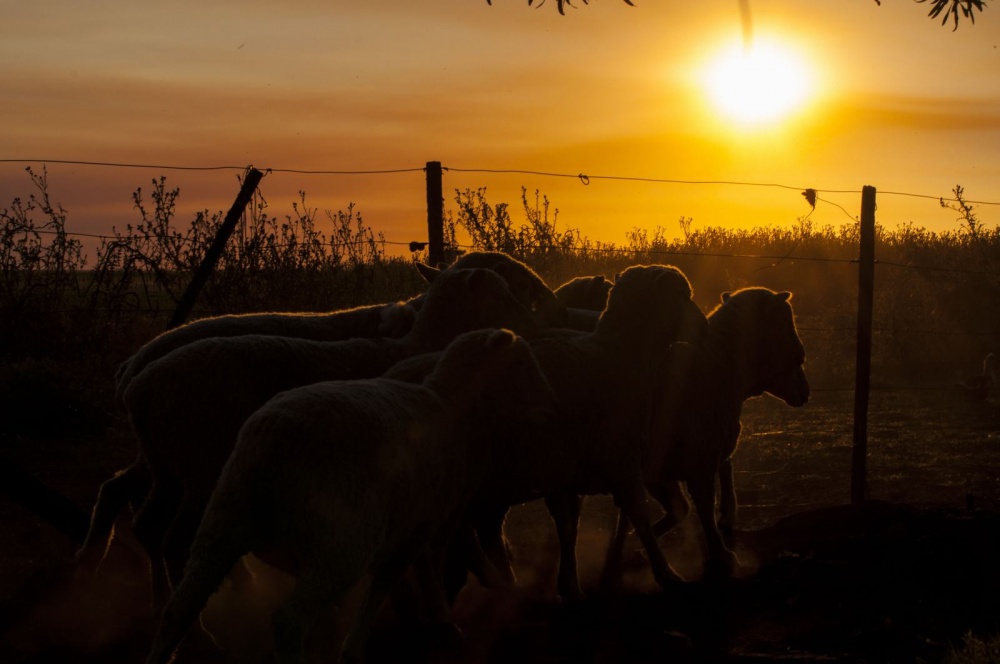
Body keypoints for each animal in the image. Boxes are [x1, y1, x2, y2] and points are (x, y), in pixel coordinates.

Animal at [75, 268, 544, 608]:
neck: (414, 344)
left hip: (167, 465)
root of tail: (137, 385)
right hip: (201, 464)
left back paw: (107, 583)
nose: (528, 324)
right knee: (173, 539)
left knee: (139, 516)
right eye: (503, 292)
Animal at [145, 330, 560, 664]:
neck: (454, 407)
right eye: (521, 363)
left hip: (224, 519)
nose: (551, 404)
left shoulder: (406, 527)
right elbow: (407, 579)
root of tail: (272, 445)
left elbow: (390, 583)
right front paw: (440, 623)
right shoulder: (427, 524)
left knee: (179, 605)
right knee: (287, 621)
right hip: (340, 543)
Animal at [600, 286, 812, 588]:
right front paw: (722, 553)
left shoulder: (661, 468)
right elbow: (702, 506)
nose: (806, 392)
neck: (719, 367)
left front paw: (630, 545)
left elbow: (677, 508)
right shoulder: (699, 457)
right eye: (785, 323)